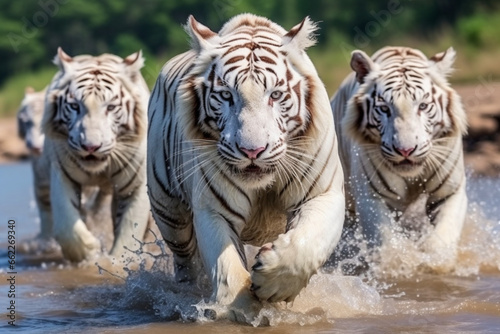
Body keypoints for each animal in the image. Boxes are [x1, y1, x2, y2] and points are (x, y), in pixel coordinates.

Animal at [39, 47, 150, 262]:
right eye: (75, 106)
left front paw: (115, 263)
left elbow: (129, 233)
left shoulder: (135, 185)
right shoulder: (62, 174)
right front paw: (89, 251)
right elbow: (67, 225)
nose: (91, 147)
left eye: (111, 107)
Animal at [146, 13, 346, 320]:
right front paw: (242, 311)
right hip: (169, 214)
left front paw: (273, 283)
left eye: (275, 95)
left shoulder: (323, 193)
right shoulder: (214, 209)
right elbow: (227, 267)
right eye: (227, 96)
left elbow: (307, 244)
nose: (253, 151)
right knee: (186, 263)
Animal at [332, 45, 468, 272]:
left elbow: (441, 240)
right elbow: (387, 244)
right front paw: (398, 264)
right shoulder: (371, 197)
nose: (406, 150)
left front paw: (435, 265)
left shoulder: (450, 192)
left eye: (422, 106)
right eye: (384, 108)